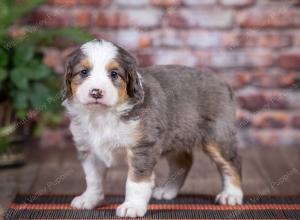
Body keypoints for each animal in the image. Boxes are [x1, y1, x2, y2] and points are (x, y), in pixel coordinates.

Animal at [62, 38, 243, 217]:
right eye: (83, 72)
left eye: (114, 74)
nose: (96, 92)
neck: (102, 115)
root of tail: (222, 81)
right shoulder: (89, 148)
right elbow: (93, 178)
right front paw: (90, 199)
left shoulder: (143, 146)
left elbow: (136, 181)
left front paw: (132, 206)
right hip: (175, 135)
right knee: (183, 162)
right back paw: (167, 191)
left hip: (217, 135)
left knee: (232, 162)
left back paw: (231, 195)